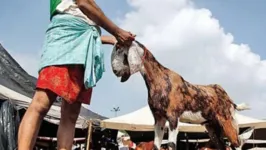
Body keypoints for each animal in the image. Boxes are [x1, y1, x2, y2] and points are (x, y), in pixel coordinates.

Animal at [111, 41, 250, 150]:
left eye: (120, 50)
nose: (115, 71)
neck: (160, 79)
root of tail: (229, 99)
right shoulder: (158, 119)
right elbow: (156, 145)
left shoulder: (173, 118)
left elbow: (171, 145)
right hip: (212, 127)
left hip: (227, 121)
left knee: (237, 144)